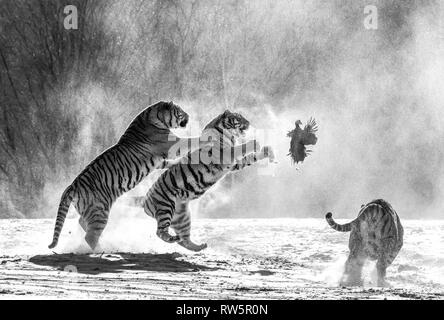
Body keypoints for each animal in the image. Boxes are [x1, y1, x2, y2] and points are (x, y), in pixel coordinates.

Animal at [47, 100, 211, 250]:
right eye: (181, 112)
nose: (189, 117)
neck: (154, 117)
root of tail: (72, 186)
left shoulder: (159, 161)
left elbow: (169, 162)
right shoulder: (170, 144)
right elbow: (190, 141)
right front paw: (207, 139)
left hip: (90, 210)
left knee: (82, 223)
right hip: (100, 211)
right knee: (90, 236)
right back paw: (101, 250)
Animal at [131, 110, 274, 252]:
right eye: (238, 118)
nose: (249, 123)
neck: (228, 135)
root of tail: (145, 199)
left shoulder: (234, 164)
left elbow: (249, 158)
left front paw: (267, 152)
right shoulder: (225, 155)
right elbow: (241, 148)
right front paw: (256, 143)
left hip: (182, 217)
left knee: (184, 240)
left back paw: (198, 246)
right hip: (165, 207)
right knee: (160, 232)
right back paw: (173, 238)